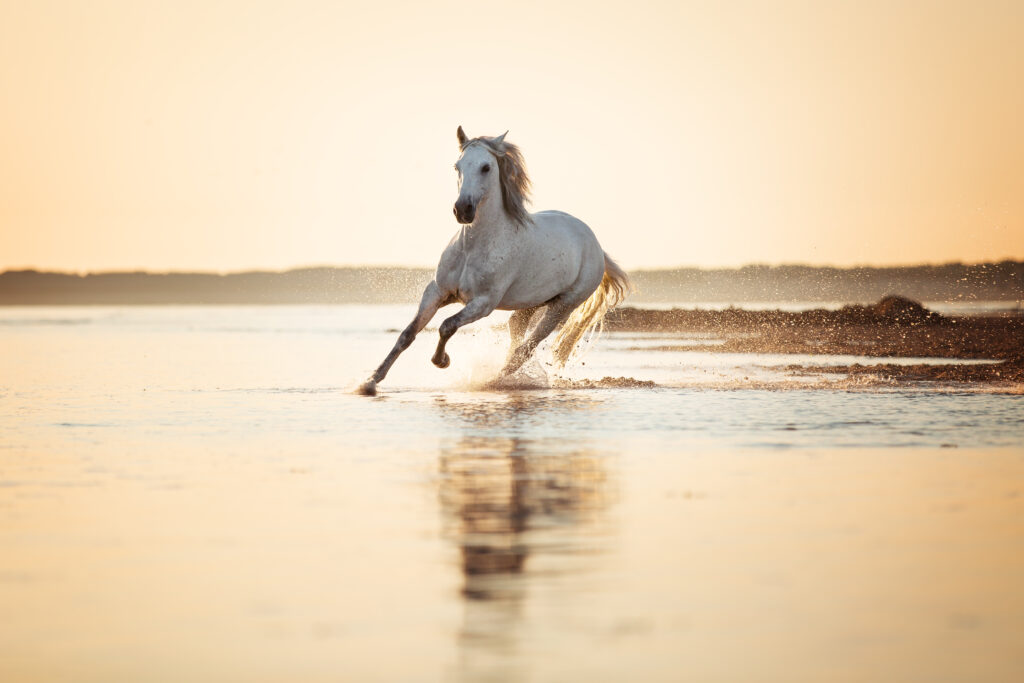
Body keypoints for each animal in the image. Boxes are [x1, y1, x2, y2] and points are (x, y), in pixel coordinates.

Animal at [360, 127, 630, 395]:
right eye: (457, 166)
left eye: (486, 167)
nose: (463, 210)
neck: (472, 248)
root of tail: (595, 244)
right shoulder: (437, 291)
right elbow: (408, 334)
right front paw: (369, 382)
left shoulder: (483, 303)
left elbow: (447, 325)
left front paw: (442, 361)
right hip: (531, 303)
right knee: (516, 332)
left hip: (563, 305)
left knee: (525, 349)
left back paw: (494, 381)